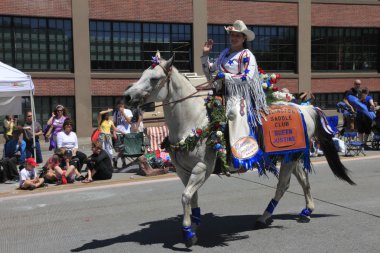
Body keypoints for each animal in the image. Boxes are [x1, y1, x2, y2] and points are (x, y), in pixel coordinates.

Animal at [124, 55, 356, 247]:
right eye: (142, 74)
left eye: (154, 78)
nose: (126, 96)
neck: (193, 122)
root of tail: (304, 107)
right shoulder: (183, 171)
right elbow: (192, 198)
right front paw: (194, 225)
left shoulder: (202, 169)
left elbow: (185, 196)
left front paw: (188, 232)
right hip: (292, 155)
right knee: (303, 181)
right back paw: (306, 211)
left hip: (290, 158)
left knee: (283, 185)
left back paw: (264, 217)